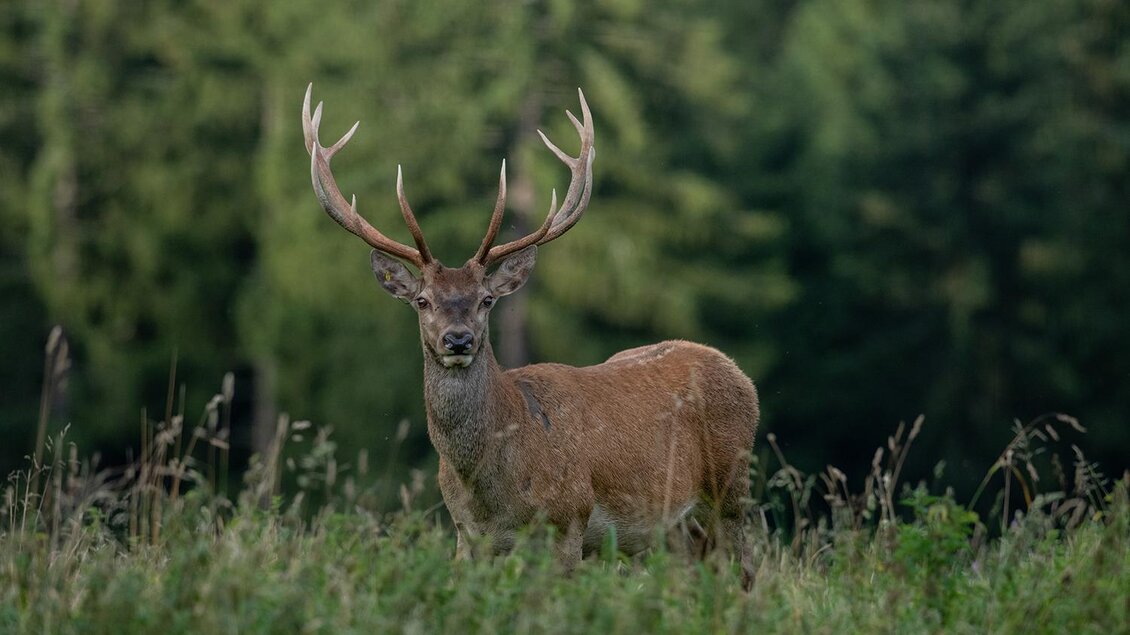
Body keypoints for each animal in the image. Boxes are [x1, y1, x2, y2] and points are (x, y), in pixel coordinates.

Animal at [301, 84, 759, 587]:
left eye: (486, 300)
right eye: (422, 300)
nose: (458, 340)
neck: (491, 488)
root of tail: (738, 372)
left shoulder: (569, 519)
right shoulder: (465, 533)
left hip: (731, 487)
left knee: (746, 569)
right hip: (677, 528)